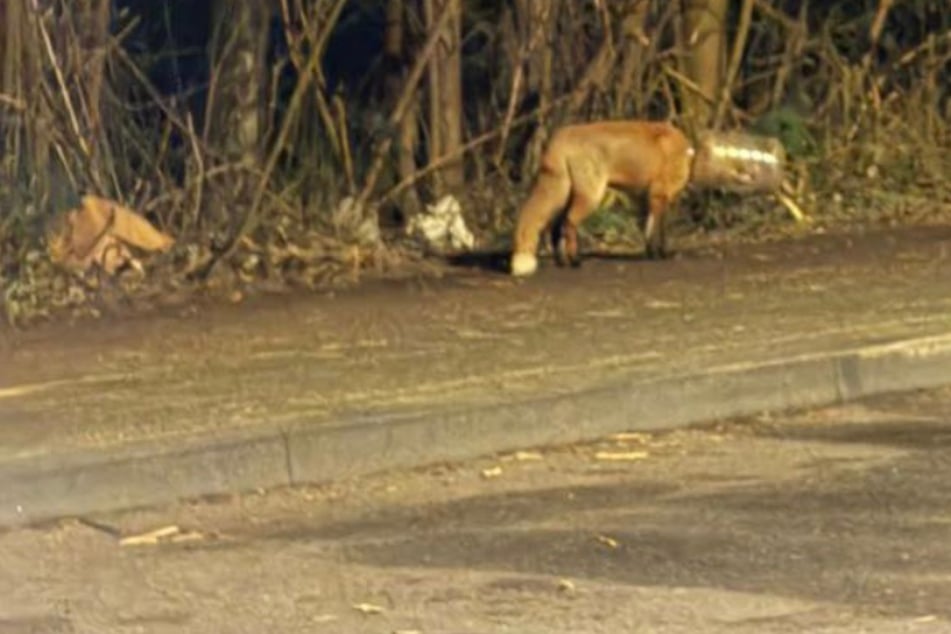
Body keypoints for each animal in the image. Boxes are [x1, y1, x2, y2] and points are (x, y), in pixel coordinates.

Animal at [510, 120, 695, 277]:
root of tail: (562, 135)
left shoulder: (646, 199)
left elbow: (649, 231)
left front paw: (651, 253)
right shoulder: (660, 195)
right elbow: (659, 231)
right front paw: (659, 254)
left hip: (566, 197)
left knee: (556, 227)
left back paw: (561, 261)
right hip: (591, 196)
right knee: (569, 222)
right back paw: (575, 261)